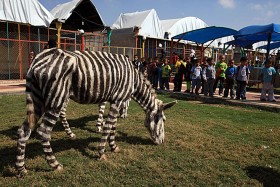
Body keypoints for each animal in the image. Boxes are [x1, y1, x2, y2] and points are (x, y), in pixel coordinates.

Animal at [15, 48, 175, 177]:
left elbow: (113, 126)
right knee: (43, 131)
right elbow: (108, 126)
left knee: (24, 130)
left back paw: (20, 169)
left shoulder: (114, 99)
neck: (134, 79)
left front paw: (114, 147)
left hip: (37, 99)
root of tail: (37, 60)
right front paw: (102, 153)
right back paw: (55, 164)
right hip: (56, 99)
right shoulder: (118, 99)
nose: (161, 142)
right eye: (163, 120)